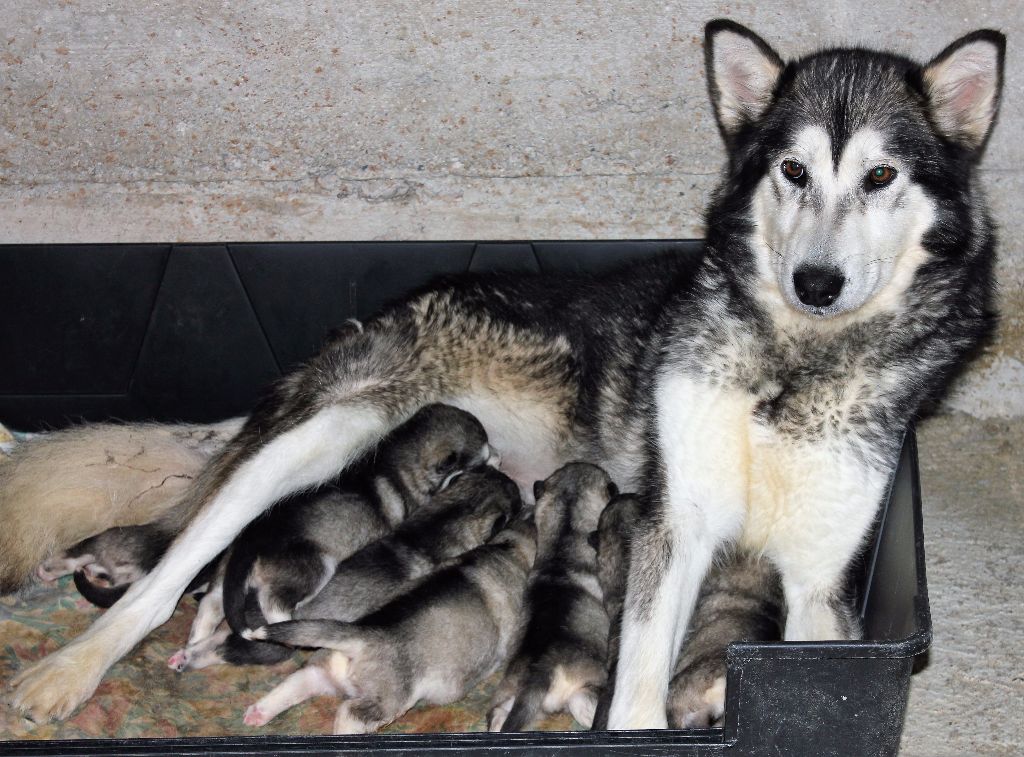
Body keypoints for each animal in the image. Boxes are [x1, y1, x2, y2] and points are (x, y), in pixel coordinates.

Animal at [238, 512, 536, 729]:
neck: (508, 547)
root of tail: (361, 633)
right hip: (387, 702)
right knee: (348, 713)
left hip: (321, 671)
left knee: (294, 684)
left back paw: (257, 713)